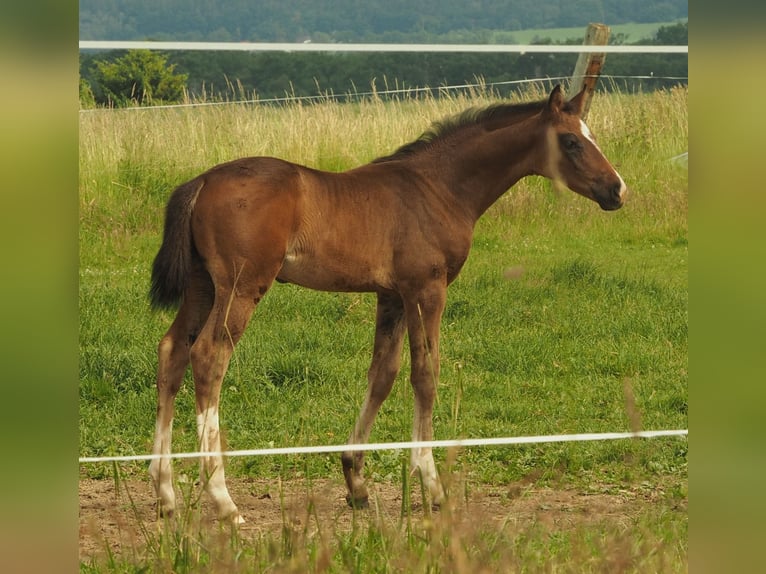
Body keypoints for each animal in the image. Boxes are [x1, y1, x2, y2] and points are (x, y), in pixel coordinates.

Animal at [148, 84, 627, 524]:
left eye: (590, 134)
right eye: (571, 141)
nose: (617, 189)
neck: (439, 187)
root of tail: (202, 181)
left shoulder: (392, 295)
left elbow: (383, 374)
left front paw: (355, 482)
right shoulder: (426, 289)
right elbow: (425, 375)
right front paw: (431, 484)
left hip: (202, 286)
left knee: (172, 351)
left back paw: (166, 492)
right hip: (241, 286)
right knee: (209, 356)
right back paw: (223, 499)